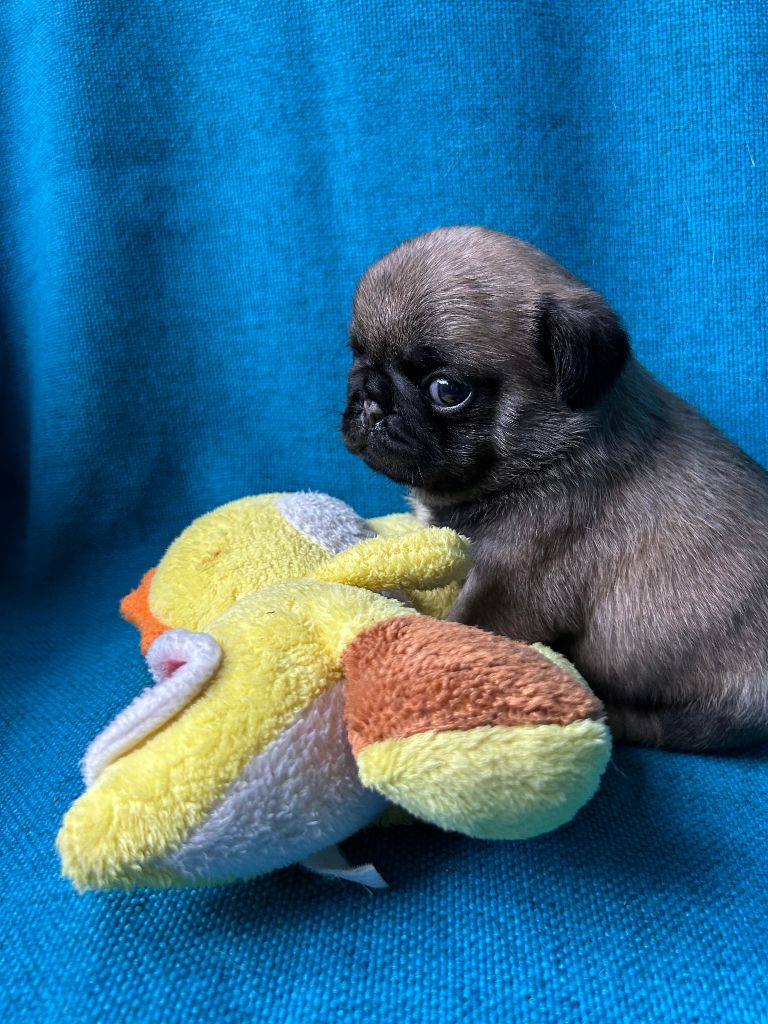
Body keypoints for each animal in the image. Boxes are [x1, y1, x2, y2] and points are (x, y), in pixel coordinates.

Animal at [341, 226, 768, 751]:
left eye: (447, 390)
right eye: (357, 355)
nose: (370, 400)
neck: (554, 450)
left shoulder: (505, 588)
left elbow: (458, 627)